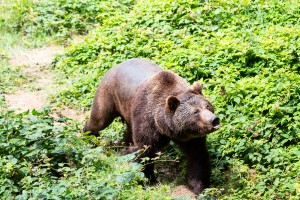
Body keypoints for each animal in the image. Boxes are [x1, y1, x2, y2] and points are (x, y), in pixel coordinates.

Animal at [84, 57, 220, 194]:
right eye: (196, 112)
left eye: (207, 106)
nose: (214, 120)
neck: (167, 128)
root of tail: (116, 65)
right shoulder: (147, 120)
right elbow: (145, 151)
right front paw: (150, 181)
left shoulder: (190, 137)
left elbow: (197, 156)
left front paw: (199, 187)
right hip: (109, 94)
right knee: (100, 119)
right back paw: (90, 138)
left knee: (128, 131)